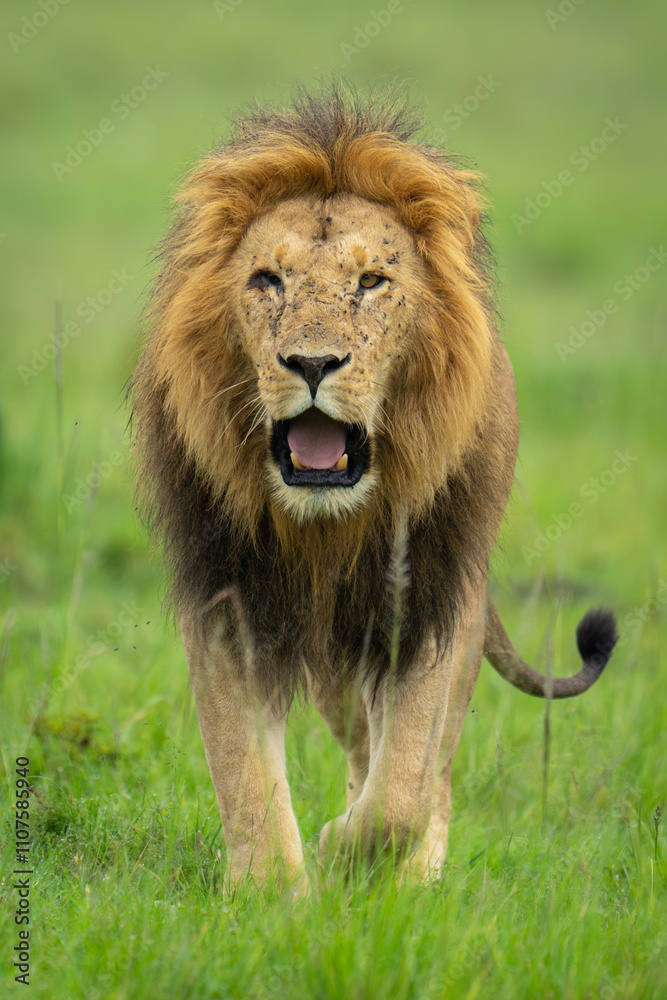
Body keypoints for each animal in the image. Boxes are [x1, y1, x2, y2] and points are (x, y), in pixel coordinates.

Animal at [131, 88, 618, 888]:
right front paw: (275, 892)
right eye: (267, 280)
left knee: (429, 773)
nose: (312, 362)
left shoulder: (428, 598)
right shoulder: (228, 600)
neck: (327, 526)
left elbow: (403, 792)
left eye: (370, 283)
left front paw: (342, 852)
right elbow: (244, 773)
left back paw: (411, 877)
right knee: (362, 746)